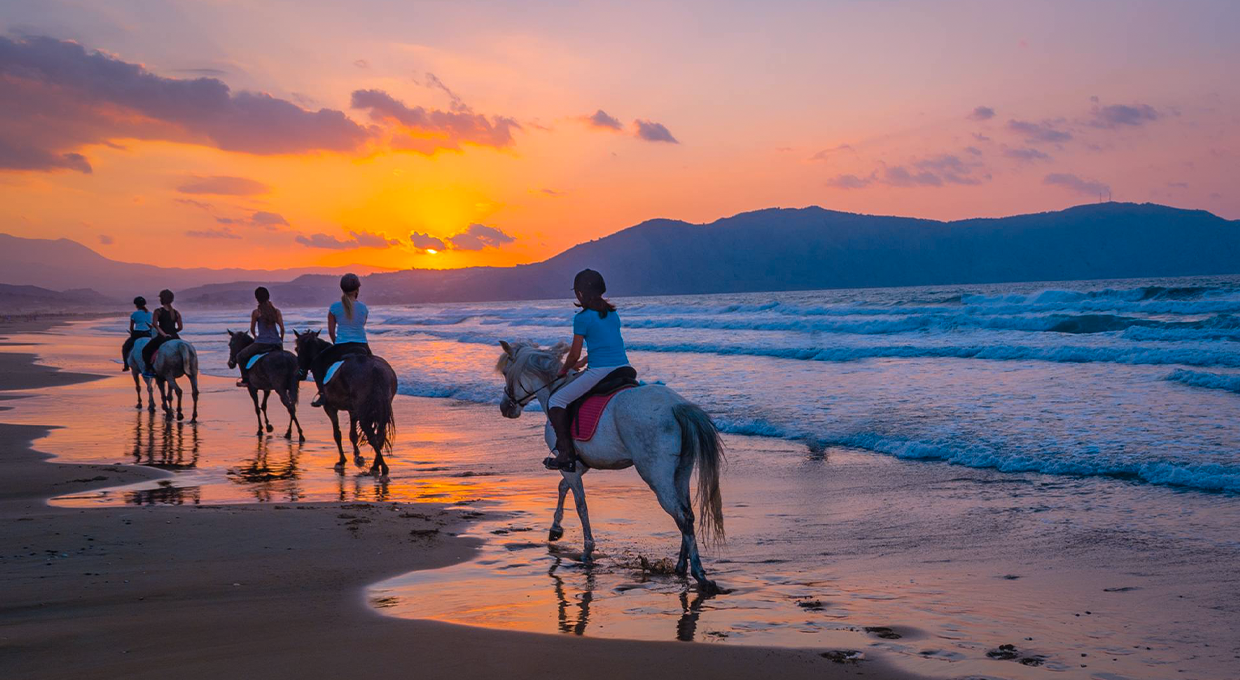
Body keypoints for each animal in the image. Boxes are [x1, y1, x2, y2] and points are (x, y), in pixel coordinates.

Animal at [496, 340, 724, 590]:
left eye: (506, 373)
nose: (505, 408)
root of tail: (676, 406)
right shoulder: (578, 464)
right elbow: (562, 487)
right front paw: (555, 529)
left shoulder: (569, 464)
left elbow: (581, 505)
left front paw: (587, 549)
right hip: (681, 471)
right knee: (687, 513)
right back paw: (682, 566)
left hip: (656, 475)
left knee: (681, 515)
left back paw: (699, 573)